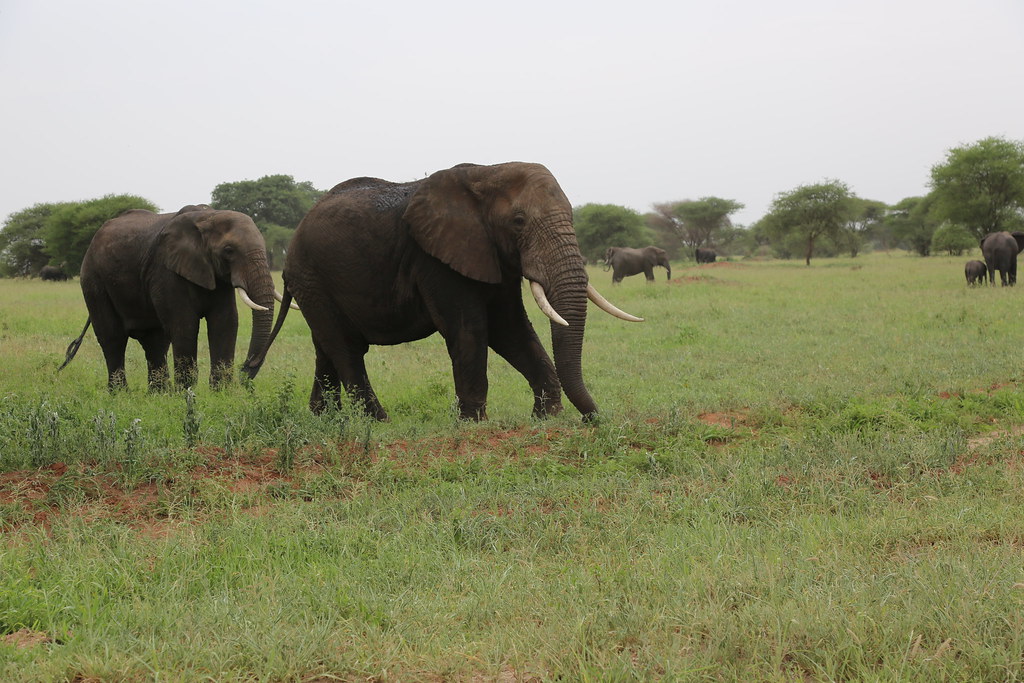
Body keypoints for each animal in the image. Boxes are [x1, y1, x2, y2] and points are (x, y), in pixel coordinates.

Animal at [59, 204, 280, 389]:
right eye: (228, 250)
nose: (246, 370)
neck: (208, 216)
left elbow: (225, 322)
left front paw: (221, 393)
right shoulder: (166, 271)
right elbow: (185, 325)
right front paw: (187, 392)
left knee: (155, 341)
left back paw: (159, 395)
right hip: (93, 280)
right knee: (112, 338)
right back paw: (120, 394)